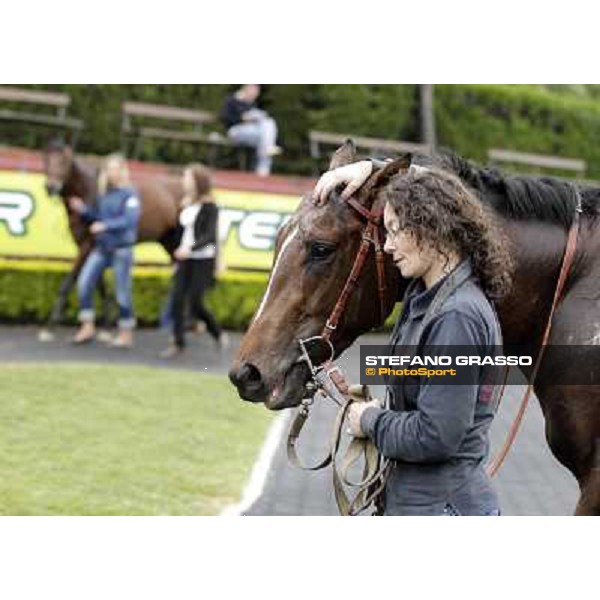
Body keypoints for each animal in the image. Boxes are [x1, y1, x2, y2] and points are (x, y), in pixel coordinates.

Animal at [40, 142, 180, 338]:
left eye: (64, 161)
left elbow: (70, 281)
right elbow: (98, 285)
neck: (89, 192)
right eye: (46, 159)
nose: (51, 187)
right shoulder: (93, 247)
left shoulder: (87, 245)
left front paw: (50, 326)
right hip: (168, 242)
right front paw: (104, 325)